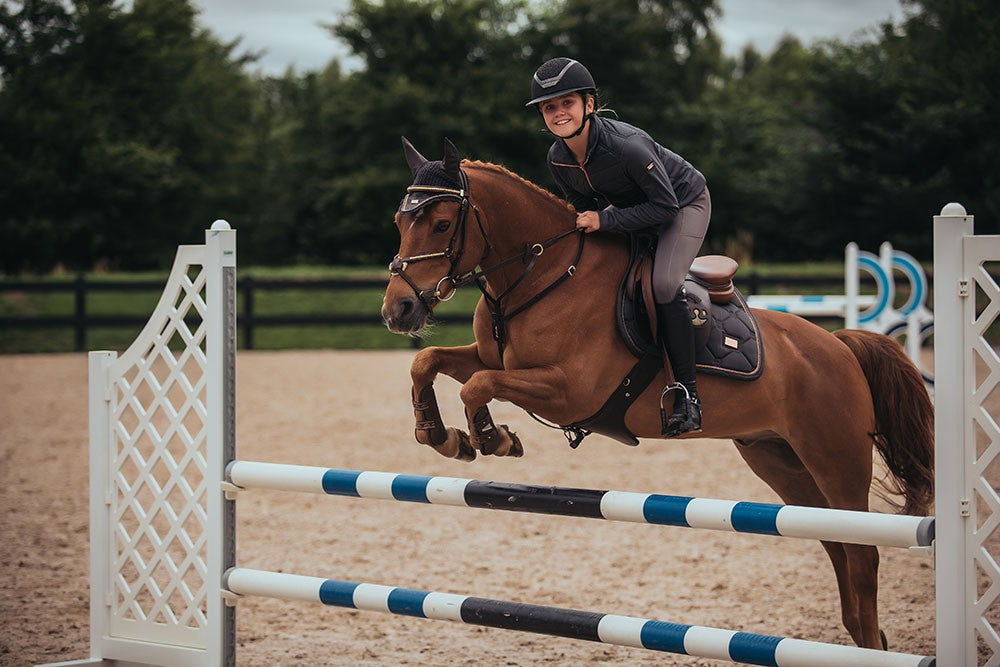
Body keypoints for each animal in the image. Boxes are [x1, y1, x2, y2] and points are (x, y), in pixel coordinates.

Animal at [378, 138, 932, 648]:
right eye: (400, 223)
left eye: (442, 225)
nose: (398, 311)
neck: (543, 273)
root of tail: (838, 346)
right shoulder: (492, 358)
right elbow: (429, 362)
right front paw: (440, 434)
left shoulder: (569, 390)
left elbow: (478, 386)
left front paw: (493, 438)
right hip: (781, 461)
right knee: (835, 542)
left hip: (836, 460)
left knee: (862, 552)